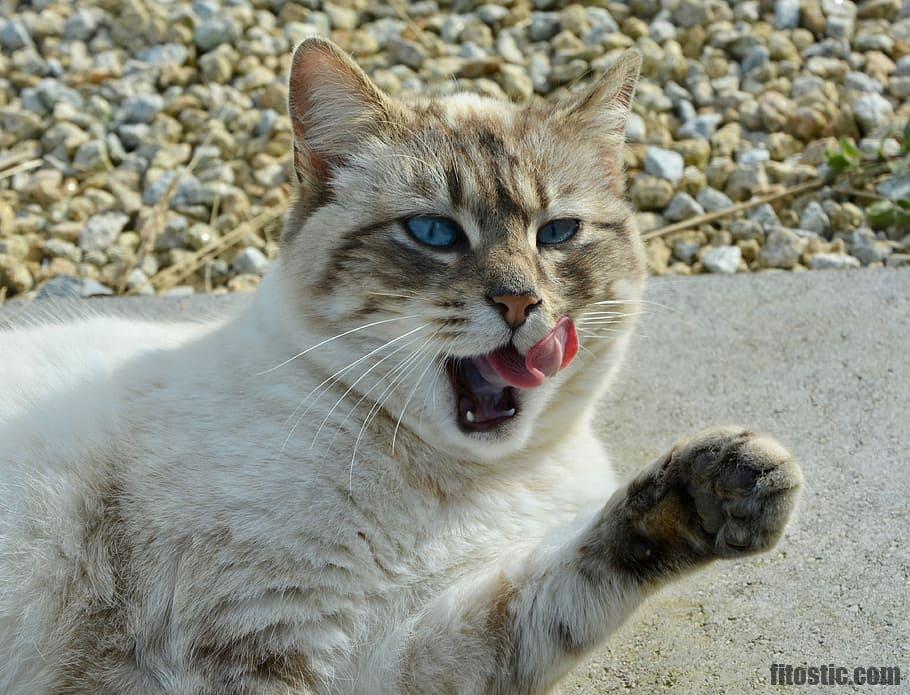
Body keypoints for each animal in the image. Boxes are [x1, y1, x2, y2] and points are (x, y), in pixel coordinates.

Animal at [0, 39, 804, 695]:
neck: (459, 483)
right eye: (434, 232)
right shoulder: (256, 646)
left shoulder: (389, 653)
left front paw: (718, 490)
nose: (521, 302)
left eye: (558, 233)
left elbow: (554, 590)